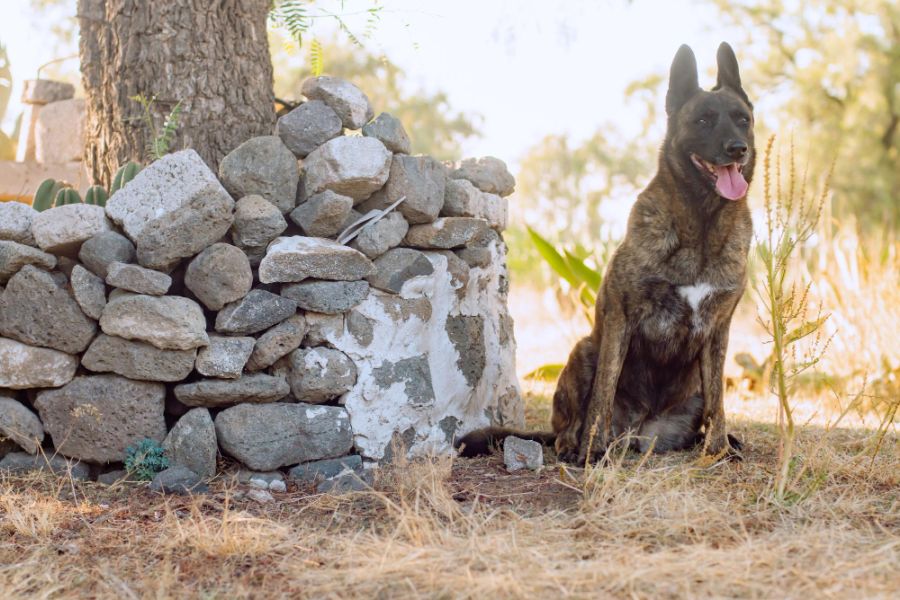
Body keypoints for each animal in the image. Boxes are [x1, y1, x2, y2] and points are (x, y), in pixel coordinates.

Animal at [458, 42, 752, 464]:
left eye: (743, 120)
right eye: (703, 120)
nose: (737, 149)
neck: (701, 222)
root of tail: (641, 432)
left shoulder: (719, 332)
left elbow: (719, 400)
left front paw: (718, 450)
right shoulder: (620, 318)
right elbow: (603, 391)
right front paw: (591, 452)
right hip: (583, 349)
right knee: (569, 423)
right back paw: (574, 444)